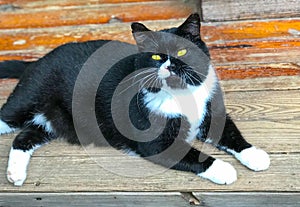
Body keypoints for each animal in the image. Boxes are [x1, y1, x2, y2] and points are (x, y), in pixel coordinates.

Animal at [0, 13, 270, 187]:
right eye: (155, 56)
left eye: (182, 50)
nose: (170, 65)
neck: (180, 96)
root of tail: (37, 61)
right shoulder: (156, 142)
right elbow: (191, 154)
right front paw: (224, 169)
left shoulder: (211, 112)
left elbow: (231, 133)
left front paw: (255, 155)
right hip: (29, 97)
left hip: (51, 120)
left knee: (24, 137)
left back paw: (15, 174)